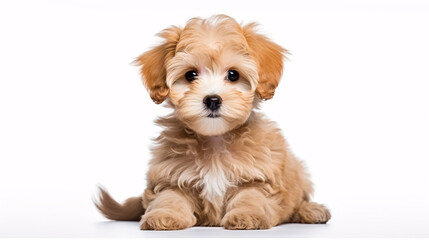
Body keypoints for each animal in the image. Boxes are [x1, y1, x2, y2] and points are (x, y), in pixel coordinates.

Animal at [95, 14, 332, 230]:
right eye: (191, 75)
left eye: (233, 75)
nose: (212, 100)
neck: (215, 139)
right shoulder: (170, 175)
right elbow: (170, 196)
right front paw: (164, 216)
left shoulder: (259, 178)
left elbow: (251, 197)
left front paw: (247, 216)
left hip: (300, 172)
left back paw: (311, 210)